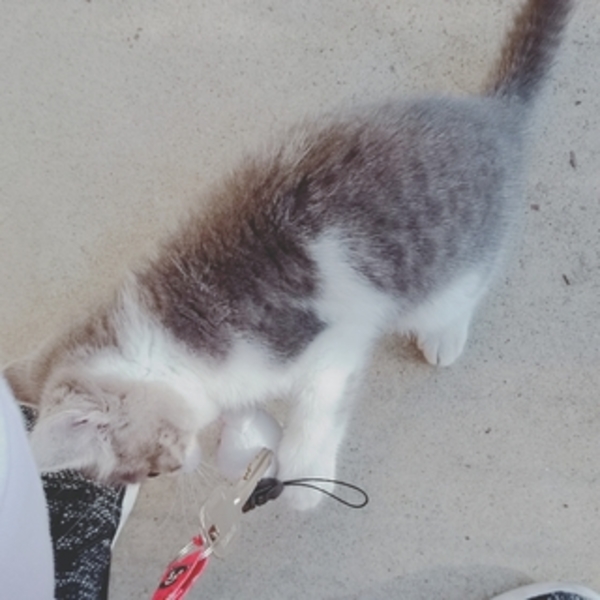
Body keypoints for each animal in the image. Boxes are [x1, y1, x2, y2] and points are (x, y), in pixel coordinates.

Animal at [4, 0, 572, 510]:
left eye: (148, 470)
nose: (181, 467)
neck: (173, 332)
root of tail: (492, 114)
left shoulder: (332, 343)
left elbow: (321, 405)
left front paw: (306, 477)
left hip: (451, 264)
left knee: (463, 291)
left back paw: (444, 334)